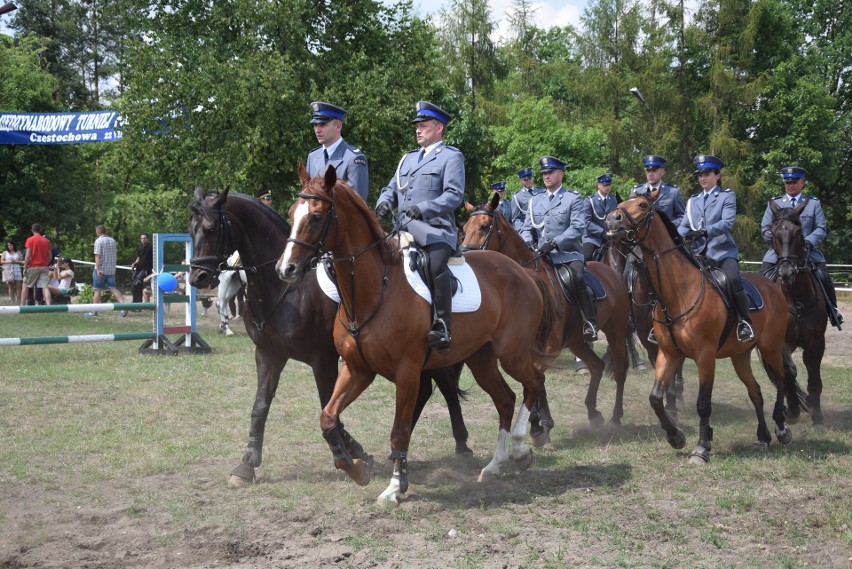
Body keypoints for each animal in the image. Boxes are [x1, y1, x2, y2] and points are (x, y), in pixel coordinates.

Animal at [186, 187, 472, 484]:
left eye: (210, 229)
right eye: (190, 229)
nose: (197, 277)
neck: (287, 291)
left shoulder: (322, 359)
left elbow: (327, 403)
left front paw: (354, 450)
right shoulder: (268, 354)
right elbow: (260, 405)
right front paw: (247, 464)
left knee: (446, 387)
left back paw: (461, 445)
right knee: (426, 390)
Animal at [278, 165, 560, 506]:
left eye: (317, 217)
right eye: (292, 212)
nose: (286, 269)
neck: (374, 292)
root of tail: (523, 271)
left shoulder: (407, 373)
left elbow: (399, 430)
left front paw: (394, 487)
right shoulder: (357, 370)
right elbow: (328, 417)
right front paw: (355, 466)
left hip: (513, 354)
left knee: (534, 382)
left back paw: (521, 447)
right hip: (481, 359)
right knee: (506, 399)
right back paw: (494, 465)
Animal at [460, 193, 632, 432]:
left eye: (484, 226)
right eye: (464, 228)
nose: (465, 259)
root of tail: (611, 272)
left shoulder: (548, 347)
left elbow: (537, 379)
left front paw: (541, 421)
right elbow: (535, 381)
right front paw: (538, 421)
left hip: (615, 330)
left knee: (620, 370)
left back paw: (616, 416)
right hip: (577, 341)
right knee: (597, 366)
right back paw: (593, 412)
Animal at [604, 189, 804, 464]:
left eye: (643, 205)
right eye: (622, 203)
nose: (612, 220)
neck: (679, 291)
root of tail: (773, 286)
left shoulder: (705, 356)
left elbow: (703, 404)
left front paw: (701, 448)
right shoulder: (669, 354)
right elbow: (655, 398)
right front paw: (675, 436)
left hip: (771, 347)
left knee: (782, 379)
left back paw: (781, 429)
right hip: (740, 356)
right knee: (756, 391)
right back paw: (762, 437)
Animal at [764, 197, 824, 428]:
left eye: (798, 233)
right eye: (773, 233)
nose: (786, 273)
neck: (796, 299)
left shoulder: (816, 343)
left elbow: (814, 379)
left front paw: (817, 418)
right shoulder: (781, 342)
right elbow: (789, 372)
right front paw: (793, 409)